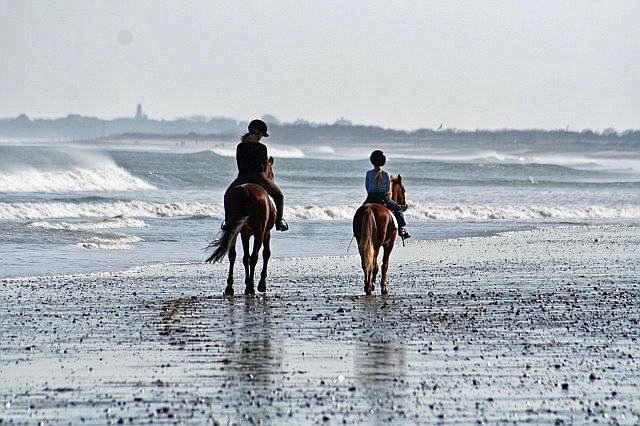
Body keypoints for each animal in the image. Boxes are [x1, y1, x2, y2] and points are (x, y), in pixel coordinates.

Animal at [205, 156, 276, 296]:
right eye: (271, 172)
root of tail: (245, 192)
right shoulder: (266, 233)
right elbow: (265, 254)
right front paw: (260, 284)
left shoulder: (245, 234)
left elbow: (245, 258)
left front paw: (248, 282)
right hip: (259, 232)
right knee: (254, 257)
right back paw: (251, 288)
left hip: (234, 228)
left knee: (232, 255)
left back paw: (230, 287)